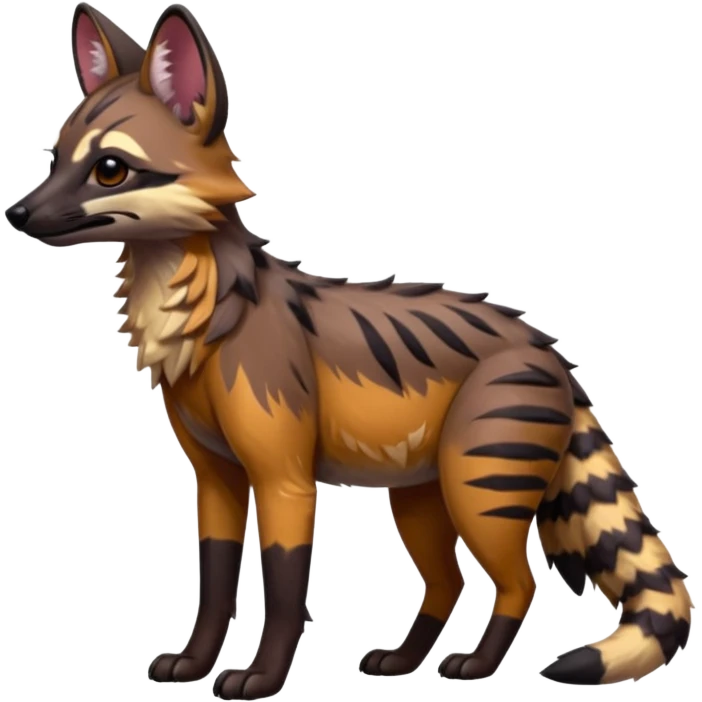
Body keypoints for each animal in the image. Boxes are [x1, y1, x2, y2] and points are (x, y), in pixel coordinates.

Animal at [4, 3, 693, 699]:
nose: (17, 213)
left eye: (109, 169)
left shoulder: (283, 476)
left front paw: (262, 677)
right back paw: (405, 661)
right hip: (419, 498)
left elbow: (284, 589)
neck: (202, 323)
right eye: (54, 159)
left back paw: (474, 667)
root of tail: (548, 348)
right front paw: (194, 665)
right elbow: (216, 585)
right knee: (448, 583)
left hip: (478, 493)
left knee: (518, 584)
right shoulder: (216, 476)